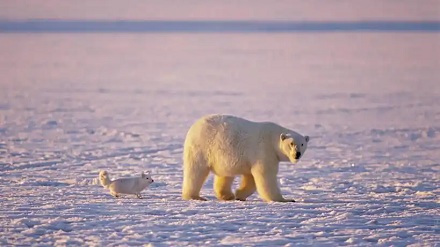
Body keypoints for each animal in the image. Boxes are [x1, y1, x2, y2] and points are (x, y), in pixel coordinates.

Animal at [182, 115, 310, 202]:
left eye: (302, 144)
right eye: (291, 143)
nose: (297, 154)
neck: (272, 138)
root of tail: (195, 126)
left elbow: (251, 177)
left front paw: (239, 194)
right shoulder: (264, 151)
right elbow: (265, 176)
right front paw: (285, 199)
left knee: (225, 174)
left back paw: (227, 195)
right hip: (201, 148)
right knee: (196, 172)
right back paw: (195, 196)